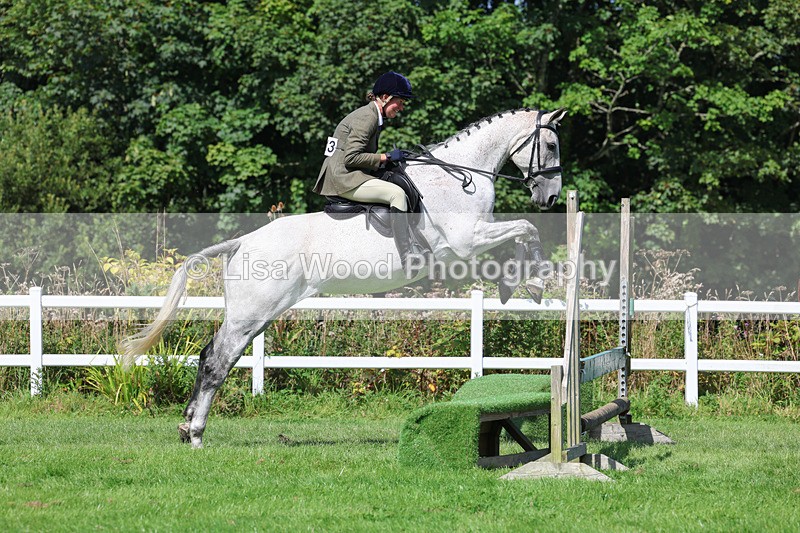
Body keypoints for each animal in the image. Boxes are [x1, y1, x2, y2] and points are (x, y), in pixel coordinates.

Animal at [123, 107, 566, 448]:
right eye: (551, 145)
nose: (550, 198)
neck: (458, 177)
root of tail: (243, 241)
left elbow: (524, 232)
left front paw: (521, 285)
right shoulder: (467, 240)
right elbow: (527, 228)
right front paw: (531, 282)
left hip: (254, 314)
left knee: (208, 356)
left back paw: (186, 426)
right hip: (252, 313)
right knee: (218, 361)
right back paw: (196, 434)